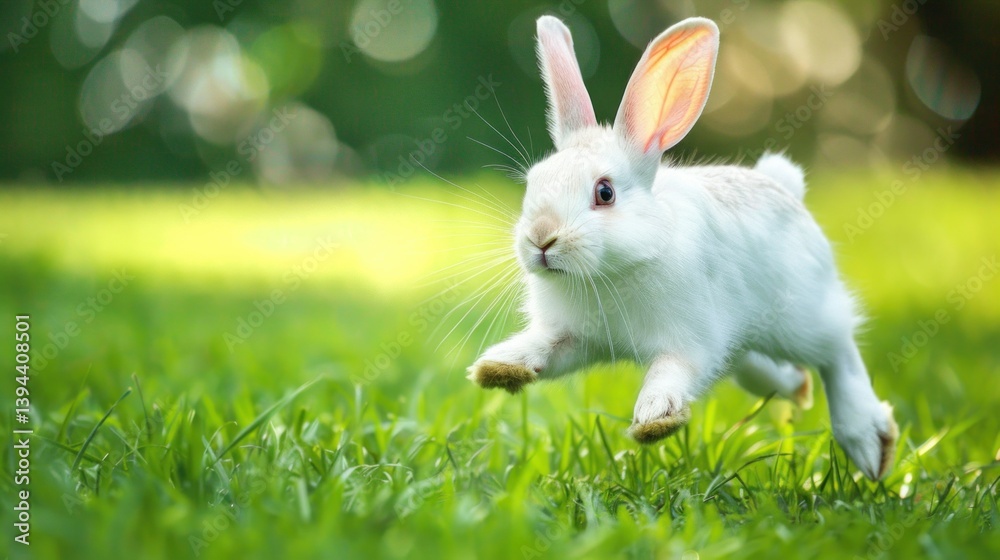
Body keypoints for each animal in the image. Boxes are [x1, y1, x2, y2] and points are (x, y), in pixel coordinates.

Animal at [466, 15, 898, 480]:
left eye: (604, 192)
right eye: (533, 183)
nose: (541, 238)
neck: (612, 272)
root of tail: (784, 188)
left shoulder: (690, 341)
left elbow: (670, 372)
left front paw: (655, 419)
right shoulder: (574, 338)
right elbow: (545, 348)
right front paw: (498, 367)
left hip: (803, 317)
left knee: (839, 352)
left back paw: (869, 444)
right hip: (749, 345)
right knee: (770, 370)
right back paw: (797, 388)